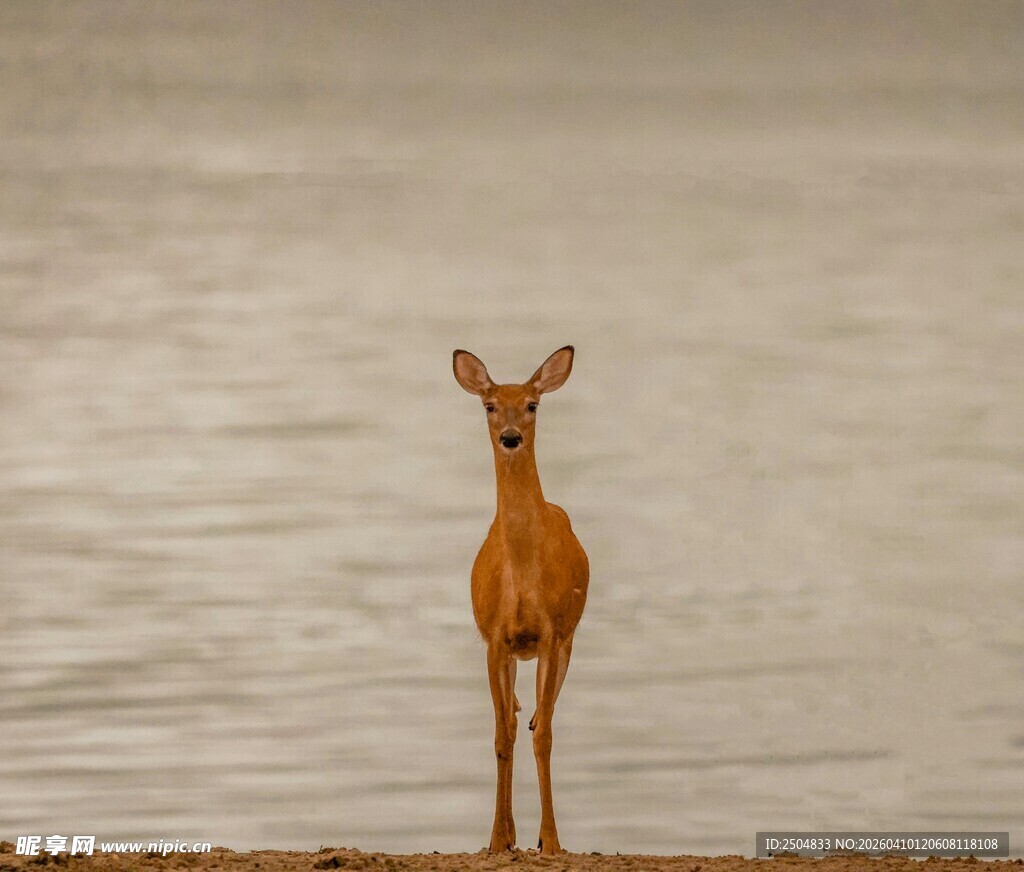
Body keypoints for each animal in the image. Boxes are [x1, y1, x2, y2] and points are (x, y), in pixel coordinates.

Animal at [452, 345, 589, 856]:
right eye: (490, 405)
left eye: (533, 404)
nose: (510, 438)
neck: (525, 577)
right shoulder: (495, 638)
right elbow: (500, 737)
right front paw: (496, 839)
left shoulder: (550, 633)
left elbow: (544, 734)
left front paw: (550, 840)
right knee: (512, 717)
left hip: (567, 641)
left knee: (537, 719)